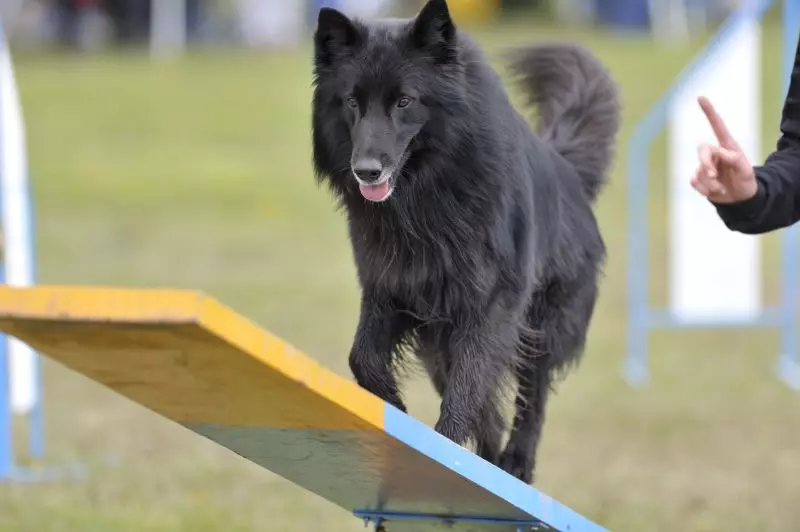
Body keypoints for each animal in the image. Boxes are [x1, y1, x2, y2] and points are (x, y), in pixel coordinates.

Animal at [310, 0, 620, 484]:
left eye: (405, 101)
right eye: (351, 102)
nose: (366, 171)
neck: (427, 197)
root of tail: (567, 169)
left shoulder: (492, 302)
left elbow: (470, 386)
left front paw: (443, 442)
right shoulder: (389, 289)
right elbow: (363, 357)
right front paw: (394, 411)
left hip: (542, 323)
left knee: (530, 395)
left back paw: (516, 463)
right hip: (439, 341)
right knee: (488, 404)